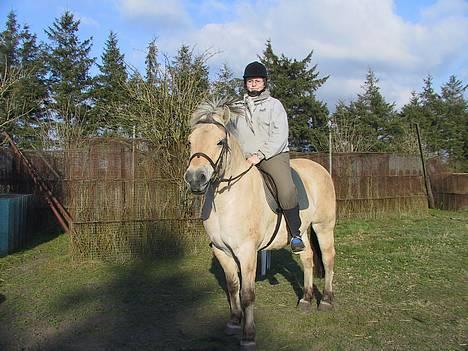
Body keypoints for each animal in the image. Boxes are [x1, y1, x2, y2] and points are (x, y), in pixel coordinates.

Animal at [184, 97, 336, 351]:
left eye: (219, 141)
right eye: (190, 141)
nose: (195, 179)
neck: (227, 198)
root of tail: (320, 169)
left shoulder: (246, 253)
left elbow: (247, 294)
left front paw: (248, 335)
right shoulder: (222, 251)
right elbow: (233, 287)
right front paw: (234, 322)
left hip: (324, 227)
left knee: (327, 258)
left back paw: (325, 301)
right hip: (302, 232)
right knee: (307, 259)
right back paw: (305, 299)